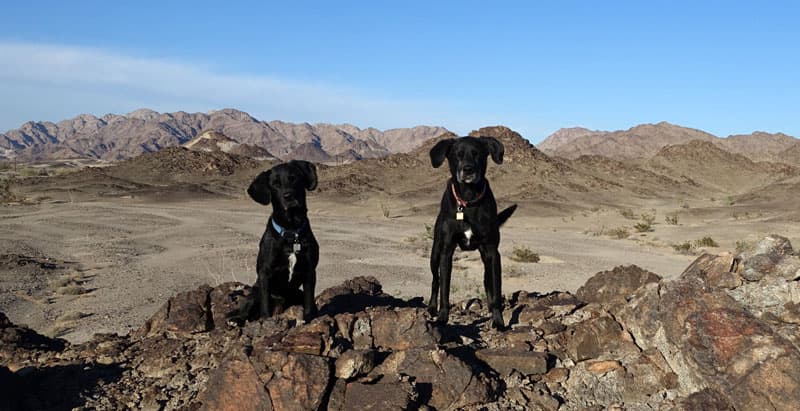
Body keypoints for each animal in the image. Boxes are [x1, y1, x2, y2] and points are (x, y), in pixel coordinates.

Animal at [227, 159, 318, 324]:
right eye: (275, 184)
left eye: (294, 178)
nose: (288, 196)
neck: (291, 231)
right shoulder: (265, 273)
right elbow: (265, 305)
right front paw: (265, 320)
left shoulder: (309, 271)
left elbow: (309, 302)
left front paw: (309, 318)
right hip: (254, 292)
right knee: (247, 309)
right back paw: (236, 319)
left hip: (297, 293)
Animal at [428, 137, 516, 330]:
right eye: (457, 155)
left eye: (477, 154)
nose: (467, 169)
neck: (468, 199)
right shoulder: (446, 252)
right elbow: (444, 289)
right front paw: (442, 318)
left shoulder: (492, 252)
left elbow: (495, 290)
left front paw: (498, 321)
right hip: (435, 253)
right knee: (435, 281)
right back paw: (431, 308)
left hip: (485, 259)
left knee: (487, 283)